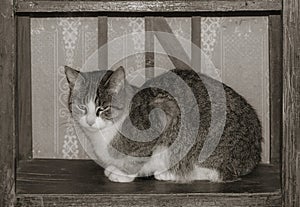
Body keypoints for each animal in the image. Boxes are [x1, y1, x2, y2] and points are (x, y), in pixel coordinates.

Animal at [64, 66, 262, 183]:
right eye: (82, 107)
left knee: (216, 172)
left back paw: (170, 173)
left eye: (103, 108)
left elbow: (139, 158)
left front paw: (124, 173)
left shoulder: (165, 112)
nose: (90, 121)